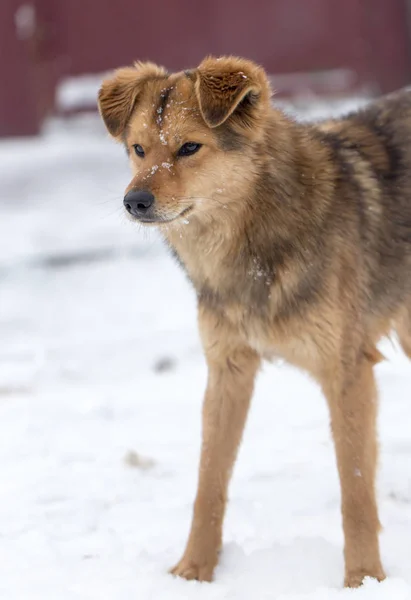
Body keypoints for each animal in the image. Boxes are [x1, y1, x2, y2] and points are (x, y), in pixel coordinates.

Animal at [97, 54, 411, 588]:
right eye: (138, 149)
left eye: (189, 147)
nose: (134, 202)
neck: (253, 247)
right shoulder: (228, 369)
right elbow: (209, 482)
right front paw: (192, 573)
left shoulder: (347, 372)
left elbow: (355, 492)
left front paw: (364, 579)